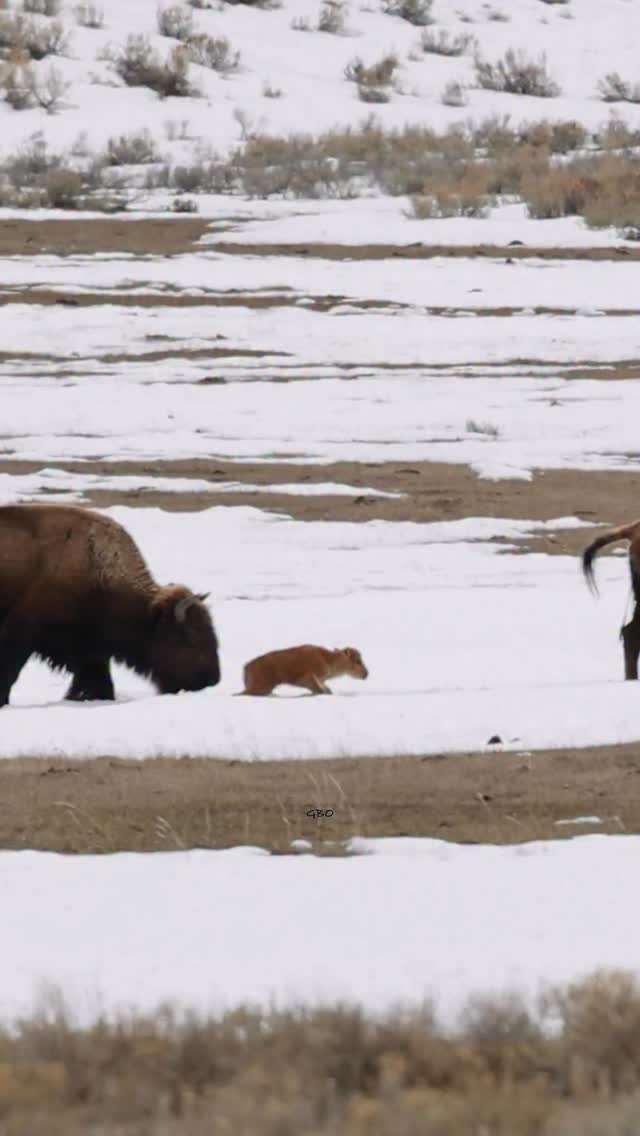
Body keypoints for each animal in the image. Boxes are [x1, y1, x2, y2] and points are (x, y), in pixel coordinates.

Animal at [0, 503, 220, 706]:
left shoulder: (92, 647)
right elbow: (10, 671)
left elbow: (98, 679)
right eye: (189, 635)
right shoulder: (21, 633)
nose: (212, 679)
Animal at [240, 644, 368, 696]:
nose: (366, 674)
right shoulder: (307, 679)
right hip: (261, 687)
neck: (328, 659)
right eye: (357, 661)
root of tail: (246, 666)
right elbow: (320, 690)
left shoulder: (320, 681)